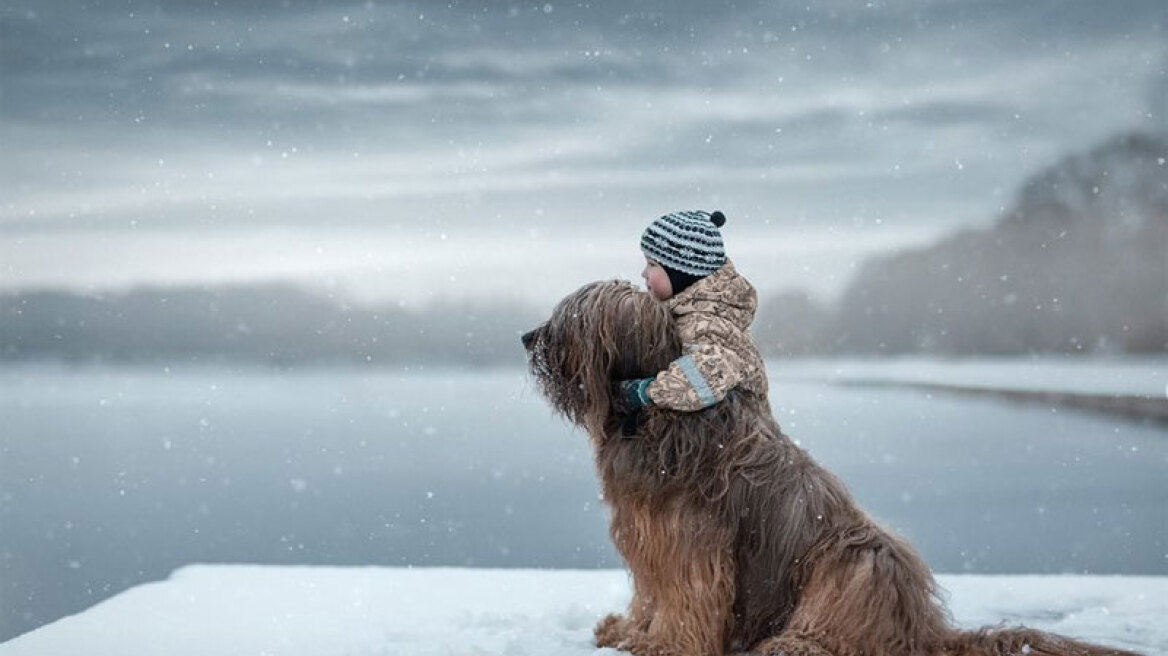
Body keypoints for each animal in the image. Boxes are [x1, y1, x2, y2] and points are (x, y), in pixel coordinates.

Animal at [523, 280, 1139, 653]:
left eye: (570, 319)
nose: (527, 337)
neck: (652, 414)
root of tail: (926, 630)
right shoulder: (648, 534)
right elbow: (649, 592)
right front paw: (627, 630)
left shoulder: (688, 542)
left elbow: (686, 598)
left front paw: (662, 645)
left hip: (856, 559)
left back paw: (791, 644)